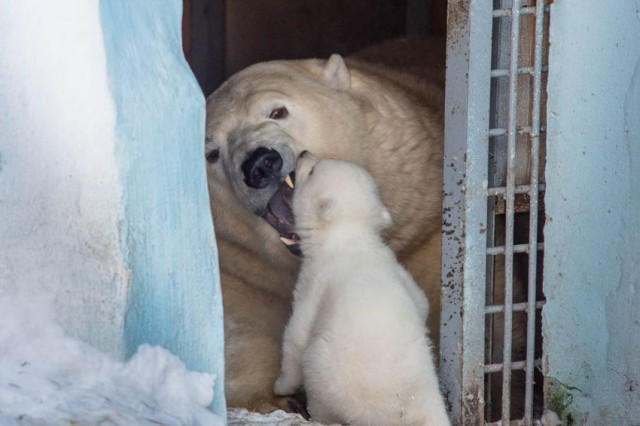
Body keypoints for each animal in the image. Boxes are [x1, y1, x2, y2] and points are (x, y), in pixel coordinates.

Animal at [205, 37, 444, 412]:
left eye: (277, 111)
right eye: (212, 153)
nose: (260, 164)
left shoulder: (421, 225)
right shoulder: (244, 268)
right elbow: (241, 325)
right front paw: (277, 398)